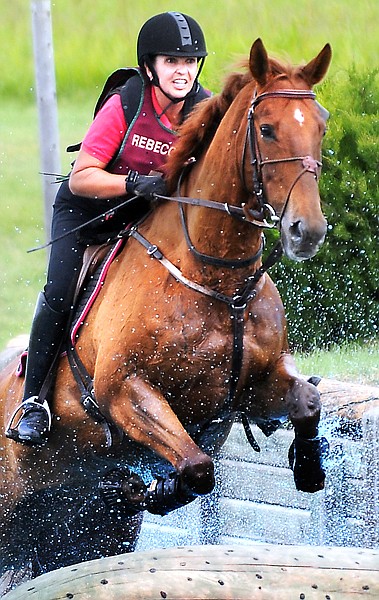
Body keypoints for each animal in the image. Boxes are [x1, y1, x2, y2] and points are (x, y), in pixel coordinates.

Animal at [0, 39, 332, 592]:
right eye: (266, 129)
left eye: (322, 126)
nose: (307, 230)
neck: (216, 279)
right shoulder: (123, 390)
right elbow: (198, 465)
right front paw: (150, 488)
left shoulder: (255, 384)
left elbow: (306, 402)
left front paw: (308, 466)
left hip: (75, 529)